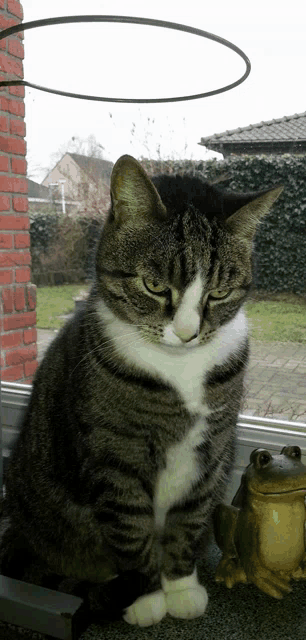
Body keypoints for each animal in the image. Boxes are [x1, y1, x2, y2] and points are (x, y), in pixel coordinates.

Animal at [0, 158, 282, 628]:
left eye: (219, 293)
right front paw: (148, 597)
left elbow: (188, 519)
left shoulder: (210, 452)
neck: (179, 368)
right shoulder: (115, 455)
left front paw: (180, 588)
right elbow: (131, 527)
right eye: (154, 286)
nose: (187, 333)